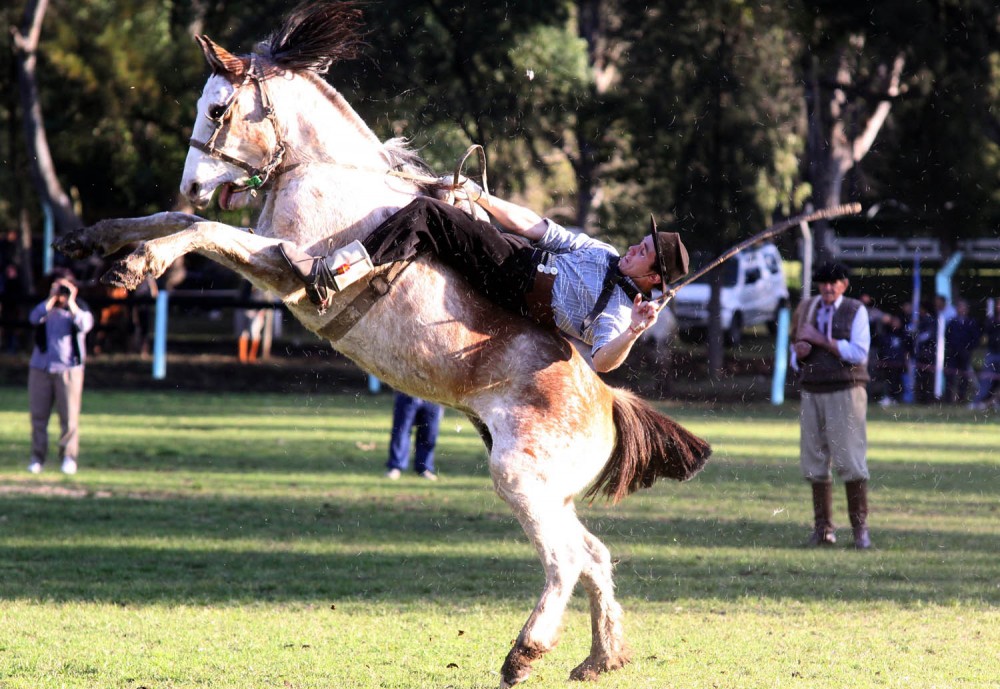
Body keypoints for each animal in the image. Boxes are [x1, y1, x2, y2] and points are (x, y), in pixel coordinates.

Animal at [56, 4, 712, 684]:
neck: (324, 173)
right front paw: (94, 239)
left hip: (520, 479)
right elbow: (183, 222)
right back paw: (601, 656)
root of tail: (608, 400)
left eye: (217, 109)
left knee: (564, 562)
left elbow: (203, 230)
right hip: (552, 495)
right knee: (594, 555)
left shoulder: (285, 267)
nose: (189, 184)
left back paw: (524, 653)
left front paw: (138, 263)